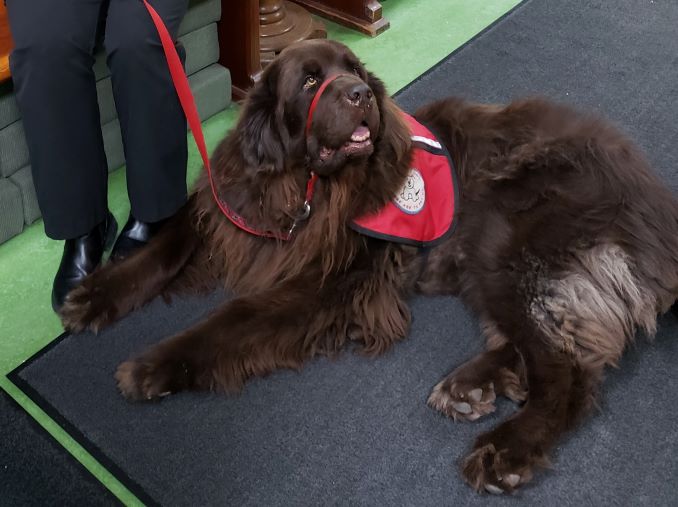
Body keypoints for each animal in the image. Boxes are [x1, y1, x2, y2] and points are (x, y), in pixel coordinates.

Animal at [59, 40, 678, 496]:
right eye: (310, 82)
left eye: (354, 70)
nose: (359, 93)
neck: (307, 185)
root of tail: (656, 206)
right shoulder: (235, 206)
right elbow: (169, 242)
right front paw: (94, 293)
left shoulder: (333, 282)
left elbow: (232, 318)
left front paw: (155, 365)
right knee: (562, 344)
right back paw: (472, 386)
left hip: (508, 234)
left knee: (571, 368)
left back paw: (507, 448)